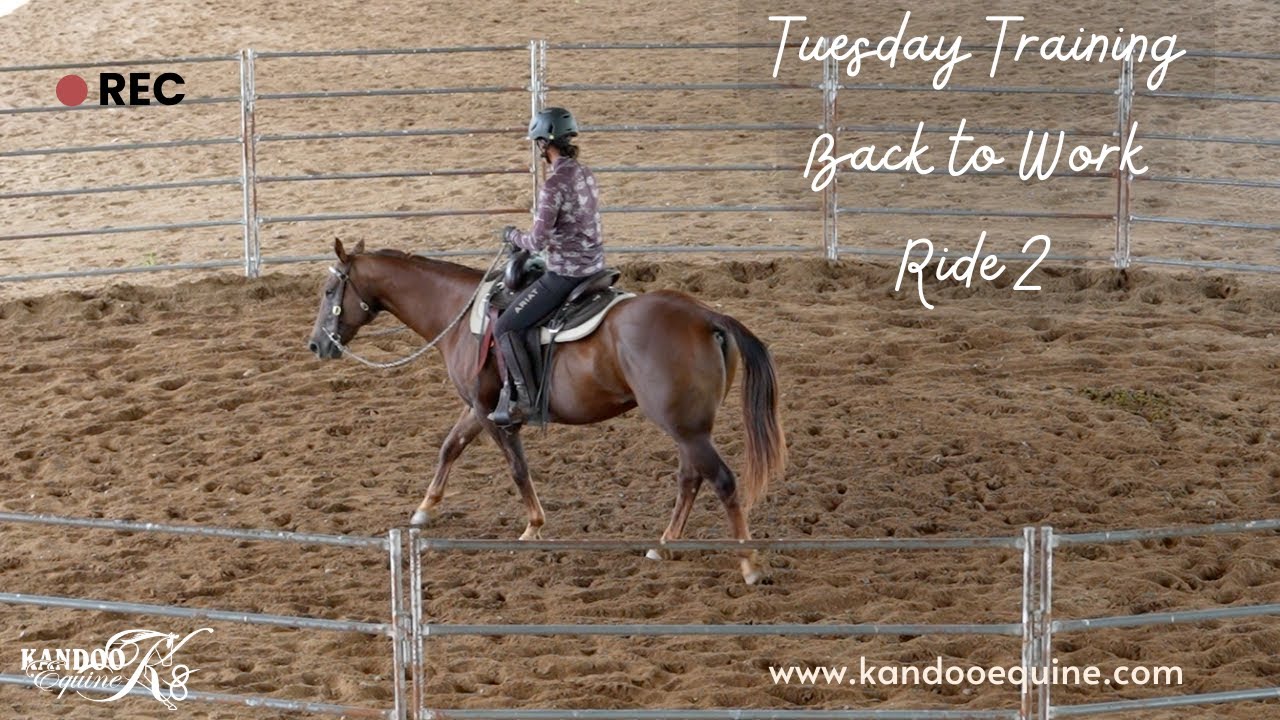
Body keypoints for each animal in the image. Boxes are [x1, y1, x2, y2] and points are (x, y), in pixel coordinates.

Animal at [307, 239, 786, 583]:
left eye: (330, 290)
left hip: (686, 429)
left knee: (721, 481)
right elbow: (450, 447)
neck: (459, 316)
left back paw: (749, 564)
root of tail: (706, 316)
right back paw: (664, 545)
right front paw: (425, 509)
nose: (316, 344)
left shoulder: (492, 414)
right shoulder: (476, 409)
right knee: (690, 479)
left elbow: (517, 468)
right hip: (687, 428)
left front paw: (533, 526)